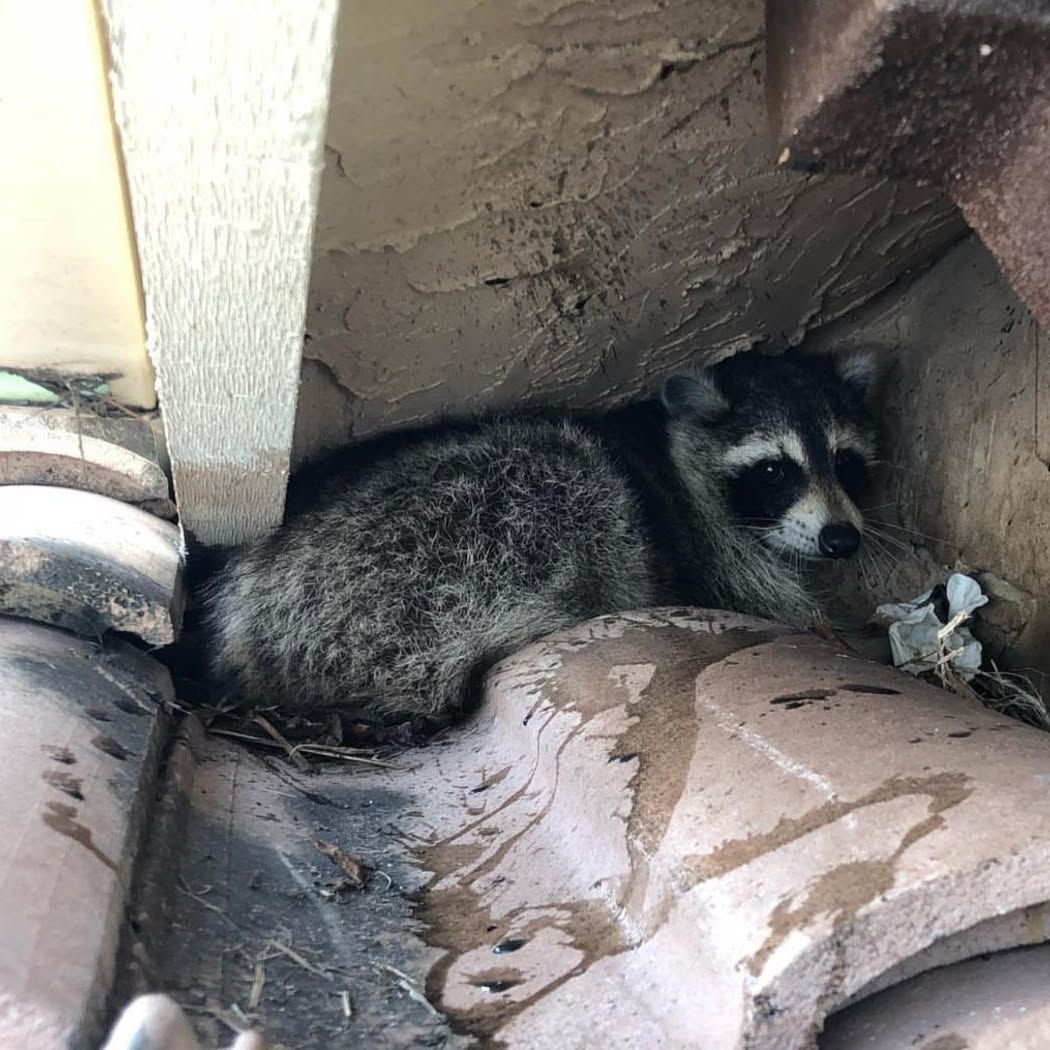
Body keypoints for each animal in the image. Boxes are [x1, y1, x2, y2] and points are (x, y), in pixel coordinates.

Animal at [202, 348, 879, 722]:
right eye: (773, 470)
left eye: (846, 462)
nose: (842, 540)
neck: (673, 449)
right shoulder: (712, 544)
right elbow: (768, 596)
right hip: (426, 541)